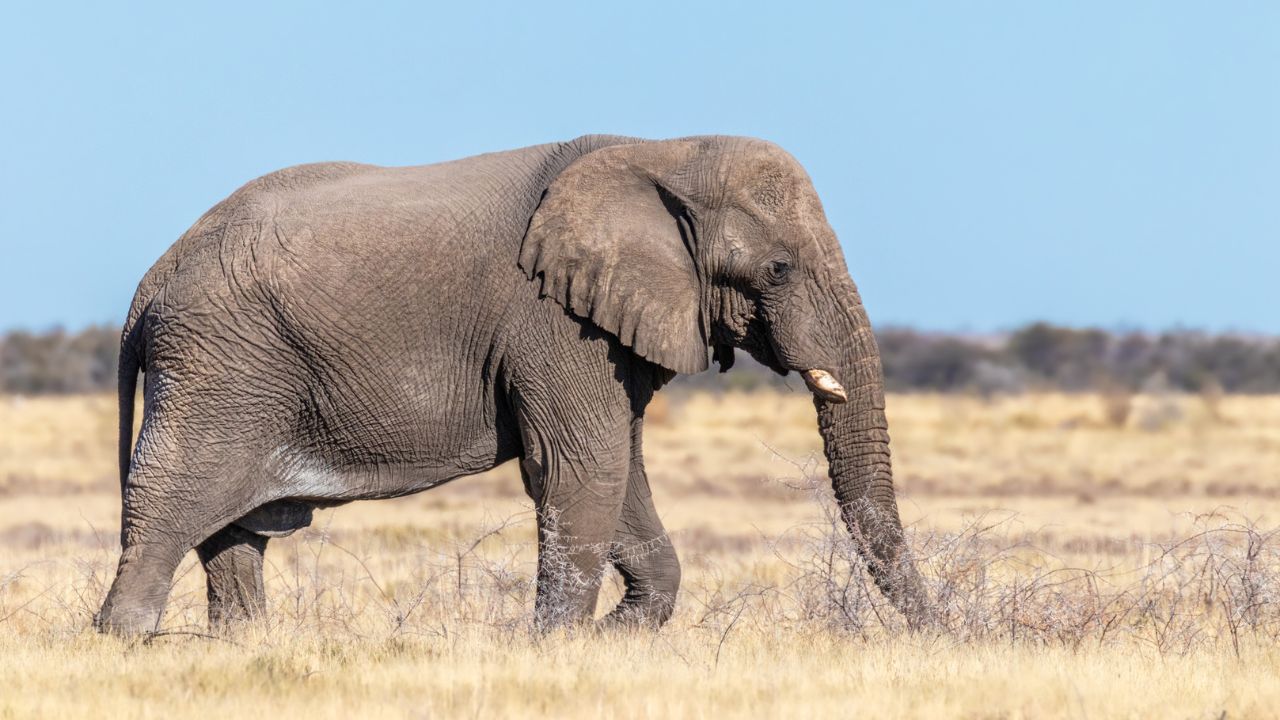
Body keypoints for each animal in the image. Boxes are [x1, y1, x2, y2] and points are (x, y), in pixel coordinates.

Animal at [95, 134, 931, 636]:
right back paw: (125, 642)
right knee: (172, 502)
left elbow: (619, 468)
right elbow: (580, 466)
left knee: (232, 533)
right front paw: (557, 646)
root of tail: (145, 288)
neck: (664, 150)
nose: (941, 635)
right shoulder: (551, 320)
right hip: (223, 364)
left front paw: (613, 637)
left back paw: (244, 649)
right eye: (779, 268)